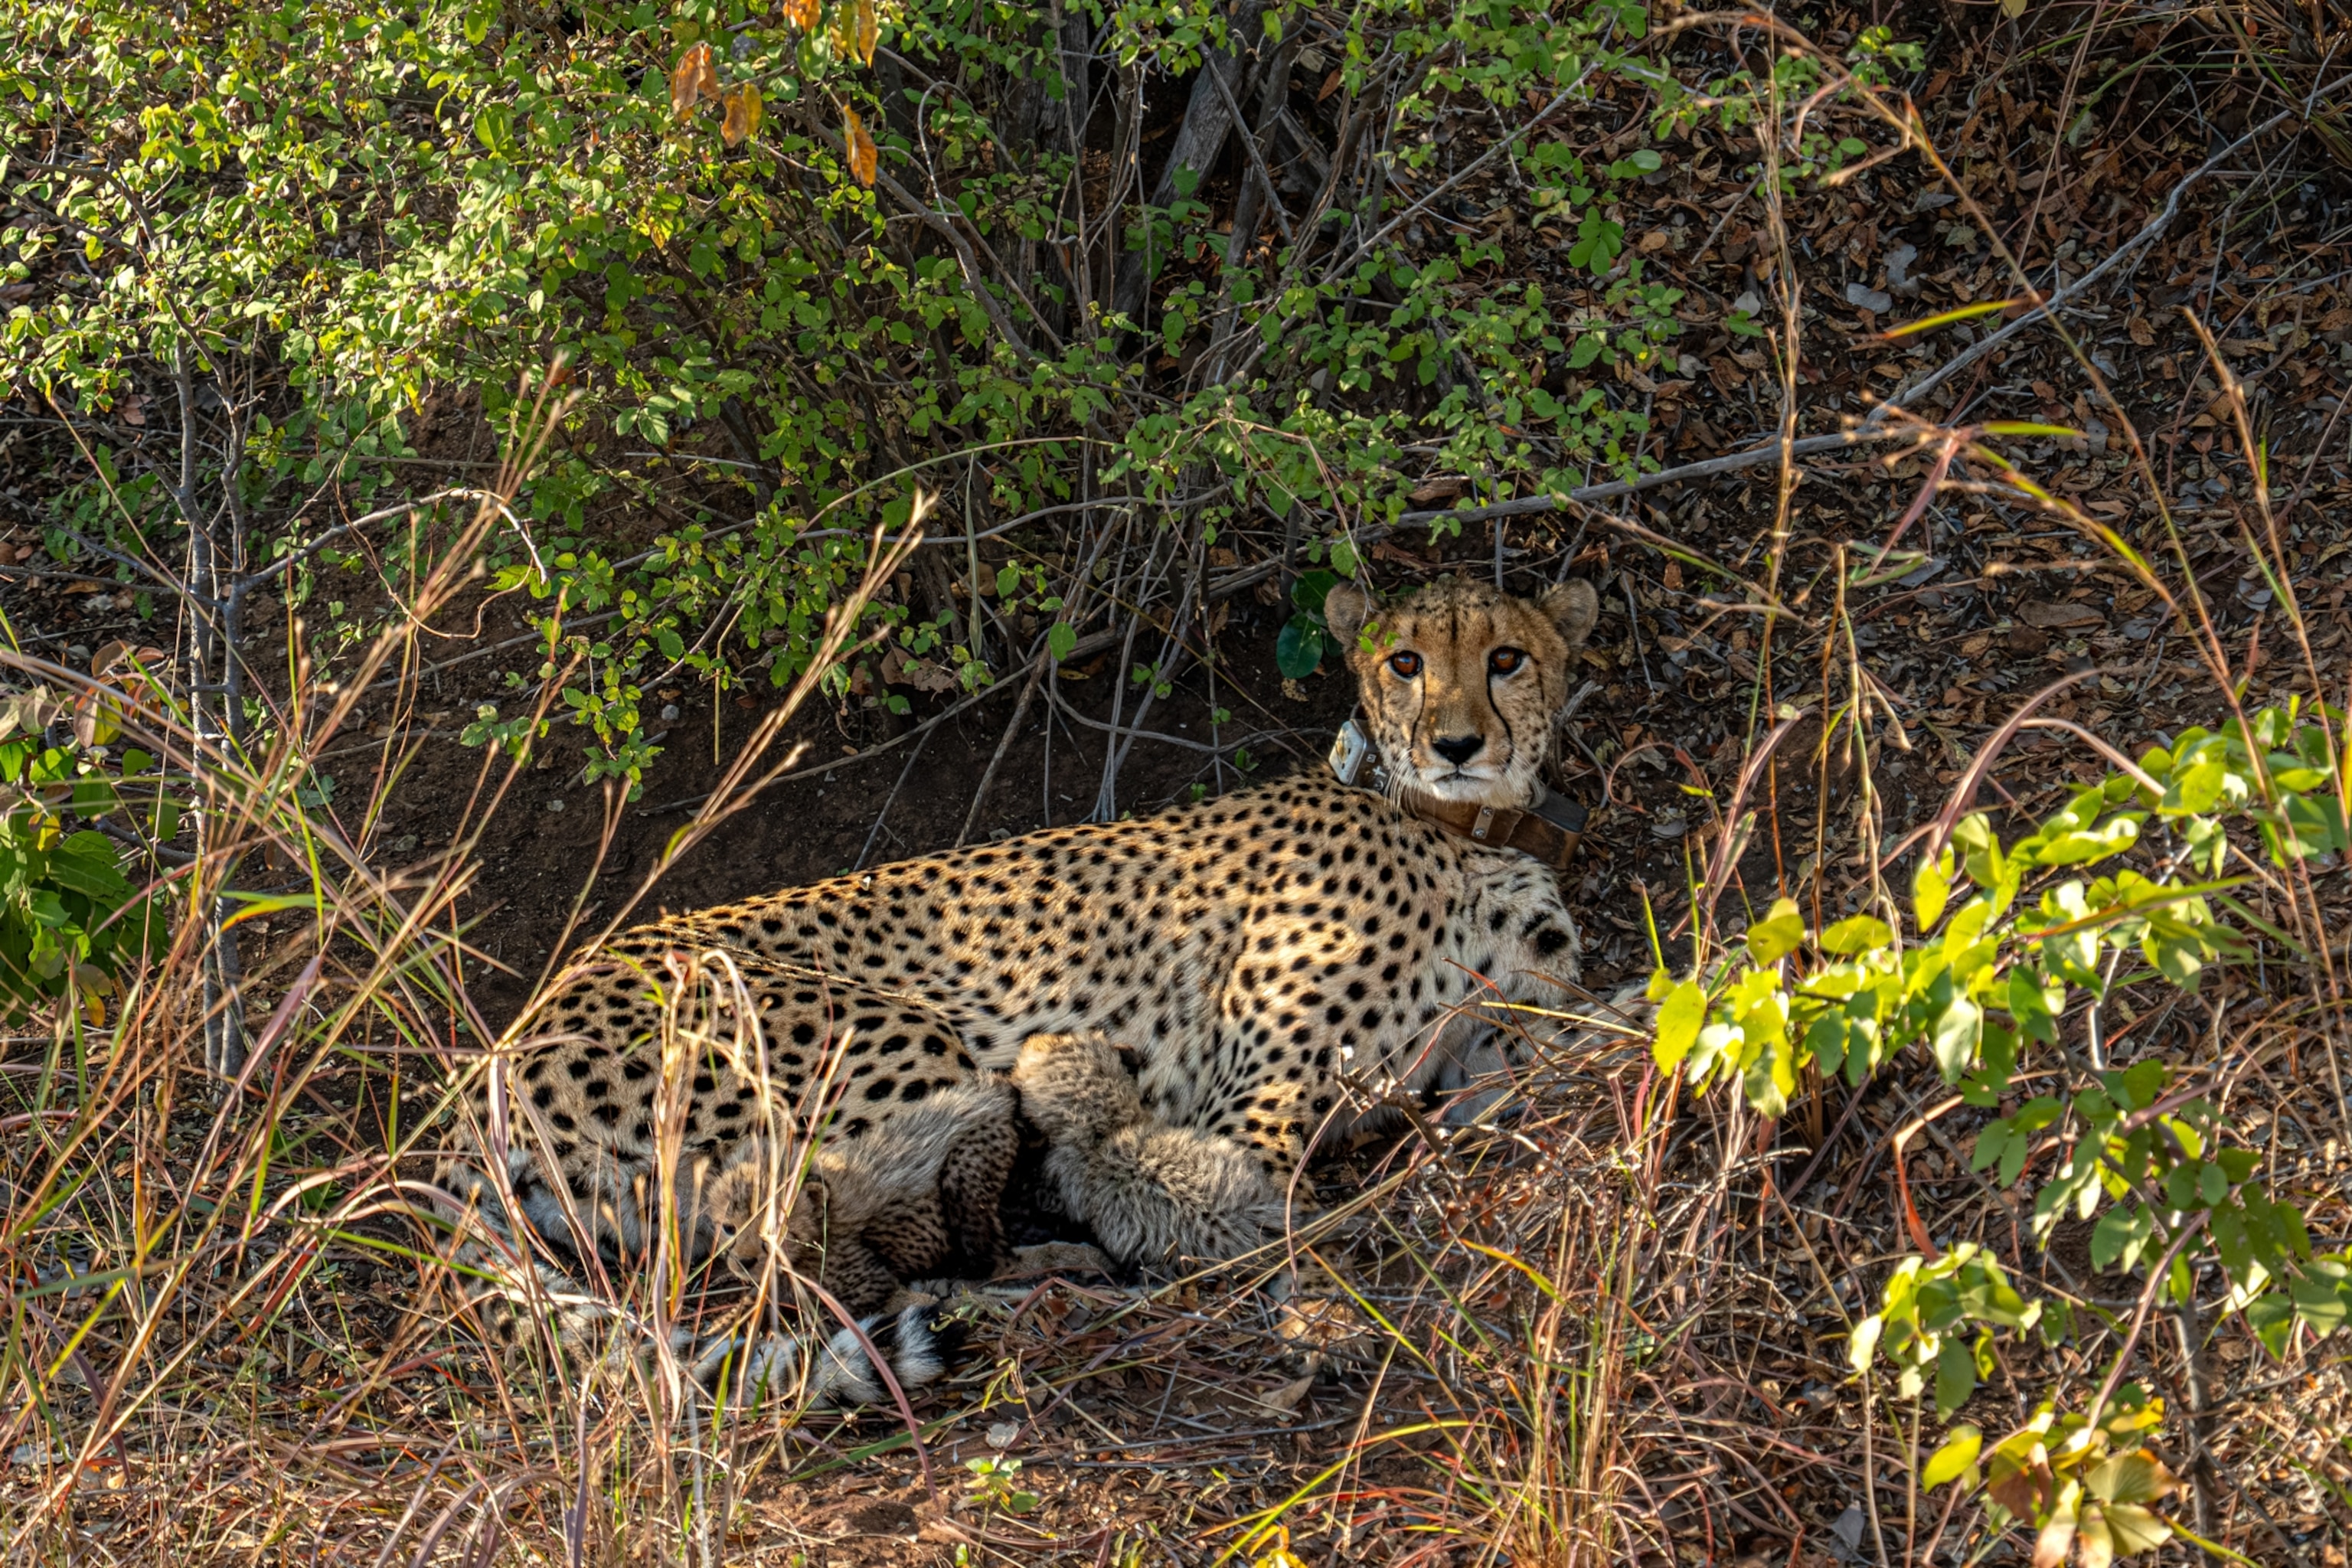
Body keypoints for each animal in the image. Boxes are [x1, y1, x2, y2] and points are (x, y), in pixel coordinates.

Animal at [435, 572, 1602, 1398]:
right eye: (1405, 660)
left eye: (1506, 658)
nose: (1457, 740)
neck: (1463, 825)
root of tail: (504, 1044)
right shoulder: (1253, 1096)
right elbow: (1277, 1212)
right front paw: (1324, 1318)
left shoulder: (1495, 1058)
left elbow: (1597, 1049)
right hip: (893, 1044)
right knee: (826, 1256)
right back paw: (1049, 1290)